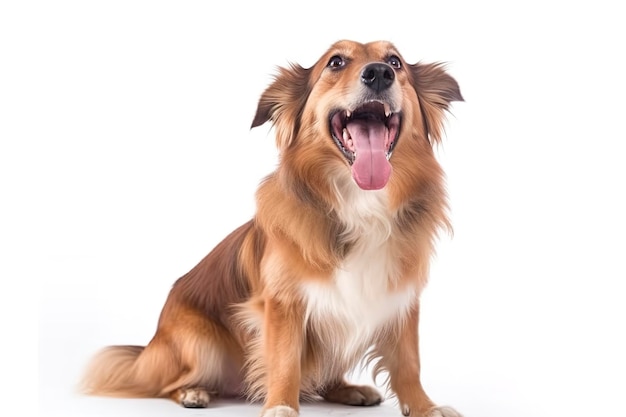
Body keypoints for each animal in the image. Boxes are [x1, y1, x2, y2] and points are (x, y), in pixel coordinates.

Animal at [81, 39, 464, 416]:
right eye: (336, 62)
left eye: (396, 61)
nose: (379, 73)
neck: (359, 203)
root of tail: (148, 349)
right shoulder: (282, 304)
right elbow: (285, 359)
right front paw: (280, 405)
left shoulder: (399, 299)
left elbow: (409, 362)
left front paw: (425, 407)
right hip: (199, 343)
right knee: (167, 385)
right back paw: (193, 392)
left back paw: (348, 390)